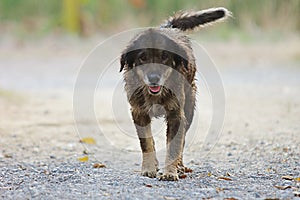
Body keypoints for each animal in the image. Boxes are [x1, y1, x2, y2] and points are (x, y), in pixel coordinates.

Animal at [119, 7, 230, 180]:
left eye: (165, 56)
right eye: (142, 57)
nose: (154, 78)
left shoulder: (176, 115)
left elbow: (174, 146)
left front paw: (170, 172)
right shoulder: (139, 113)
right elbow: (147, 143)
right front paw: (149, 168)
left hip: (189, 109)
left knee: (182, 140)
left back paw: (180, 166)